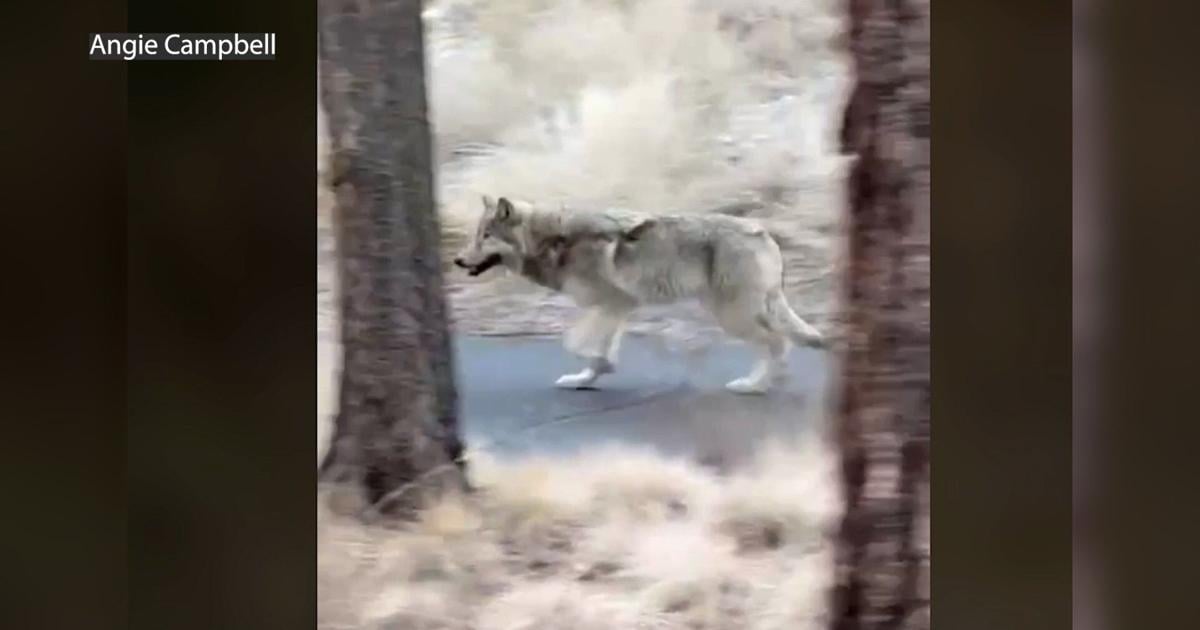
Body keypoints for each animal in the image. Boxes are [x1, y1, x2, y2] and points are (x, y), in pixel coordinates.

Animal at [453, 196, 825, 394]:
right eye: (475, 236)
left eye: (486, 236)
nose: (457, 260)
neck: (551, 242)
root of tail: (763, 232)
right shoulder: (618, 308)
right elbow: (601, 352)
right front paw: (586, 379)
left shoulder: (613, 303)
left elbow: (576, 344)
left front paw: (592, 366)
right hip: (736, 313)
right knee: (780, 342)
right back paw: (764, 381)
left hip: (732, 317)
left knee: (778, 342)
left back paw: (755, 385)